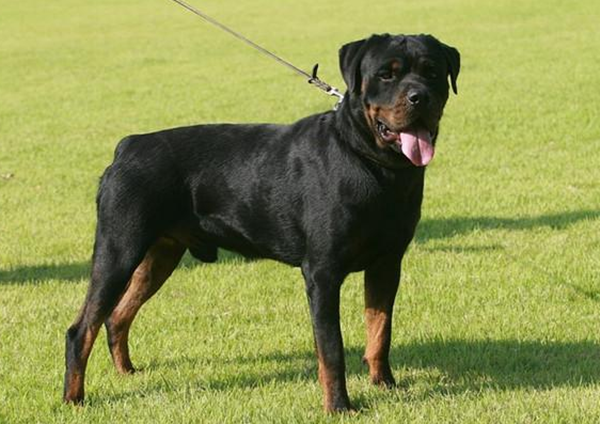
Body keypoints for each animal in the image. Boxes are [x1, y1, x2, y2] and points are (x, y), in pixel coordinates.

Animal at [63, 33, 460, 412]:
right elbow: (331, 349)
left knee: (117, 316)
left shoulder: (386, 263)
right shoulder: (323, 273)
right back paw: (74, 398)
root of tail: (127, 147)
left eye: (432, 71)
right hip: (118, 250)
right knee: (81, 329)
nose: (419, 98)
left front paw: (385, 385)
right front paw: (339, 406)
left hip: (160, 256)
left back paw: (127, 373)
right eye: (386, 75)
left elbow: (380, 329)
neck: (372, 164)